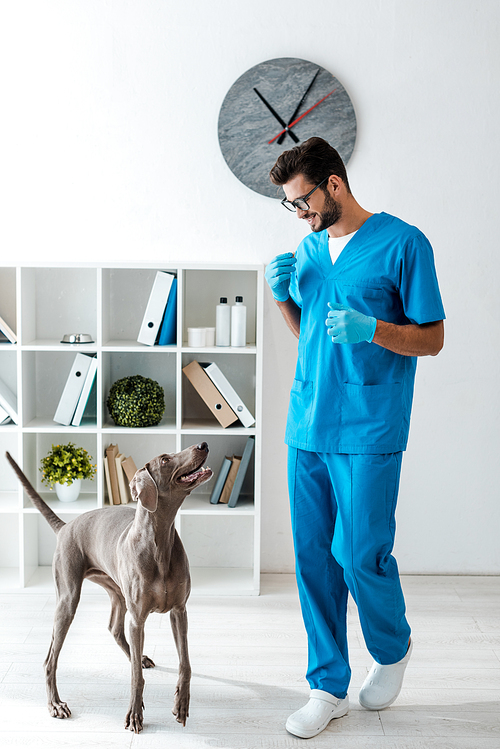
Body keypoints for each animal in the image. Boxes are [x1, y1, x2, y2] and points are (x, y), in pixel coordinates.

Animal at [6, 444, 213, 732]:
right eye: (165, 459)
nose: (203, 445)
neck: (159, 541)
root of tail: (66, 527)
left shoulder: (179, 610)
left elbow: (186, 664)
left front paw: (181, 704)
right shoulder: (138, 618)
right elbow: (136, 677)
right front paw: (134, 714)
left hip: (117, 592)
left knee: (114, 628)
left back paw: (140, 657)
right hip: (68, 598)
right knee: (50, 659)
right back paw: (55, 704)